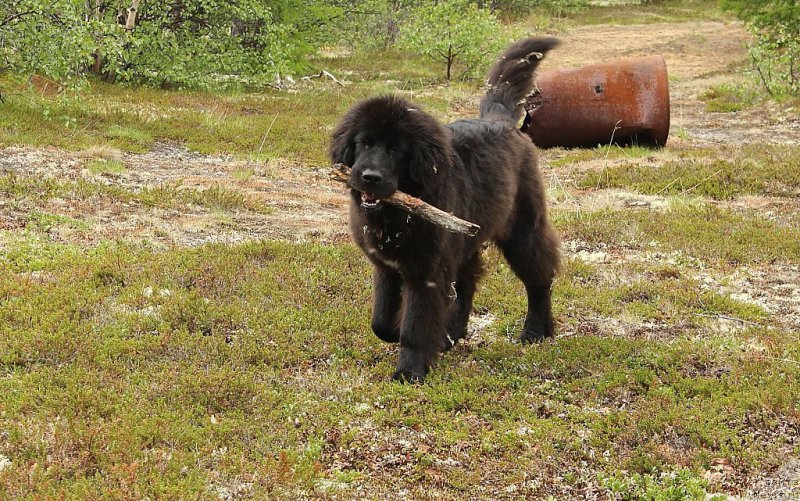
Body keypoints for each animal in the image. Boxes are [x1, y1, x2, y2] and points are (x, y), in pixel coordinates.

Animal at [328, 38, 560, 382]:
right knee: (467, 286)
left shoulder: (427, 272)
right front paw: (400, 335)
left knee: (539, 278)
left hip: (522, 232)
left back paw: (535, 331)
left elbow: (415, 324)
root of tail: (500, 120)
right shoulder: (386, 267)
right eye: (363, 143)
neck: (397, 217)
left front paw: (409, 371)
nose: (370, 177)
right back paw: (451, 334)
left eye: (396, 149)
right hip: (466, 238)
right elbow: (380, 321)